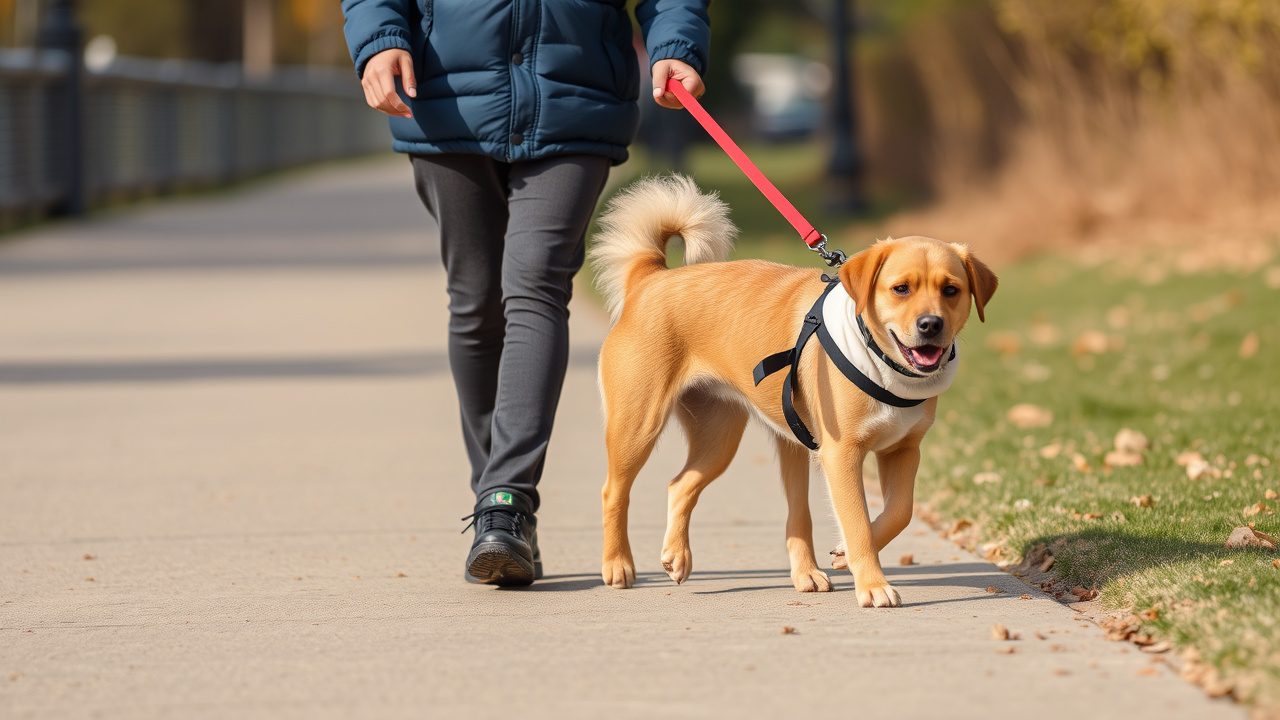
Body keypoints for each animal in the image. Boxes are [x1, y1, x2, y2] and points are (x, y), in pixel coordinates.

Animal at [588, 175, 998, 604]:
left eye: (951, 290)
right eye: (901, 289)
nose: (931, 325)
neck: (882, 362)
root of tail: (650, 277)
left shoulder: (902, 450)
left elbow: (900, 511)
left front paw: (843, 556)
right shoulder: (841, 455)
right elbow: (858, 522)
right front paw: (873, 585)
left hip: (721, 438)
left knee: (681, 485)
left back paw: (680, 556)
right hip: (638, 425)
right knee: (613, 492)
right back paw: (617, 564)